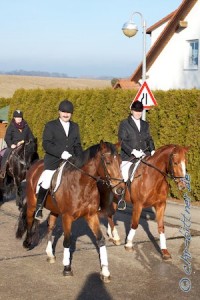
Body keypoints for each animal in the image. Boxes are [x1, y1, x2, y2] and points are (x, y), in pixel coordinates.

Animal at [16, 141, 125, 282]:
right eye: (107, 162)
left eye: (120, 162)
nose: (120, 189)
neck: (83, 184)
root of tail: (34, 165)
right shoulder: (67, 217)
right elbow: (67, 241)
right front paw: (67, 268)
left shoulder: (91, 216)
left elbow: (100, 240)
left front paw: (105, 271)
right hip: (32, 203)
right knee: (30, 219)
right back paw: (27, 242)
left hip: (54, 209)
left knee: (50, 225)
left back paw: (50, 254)